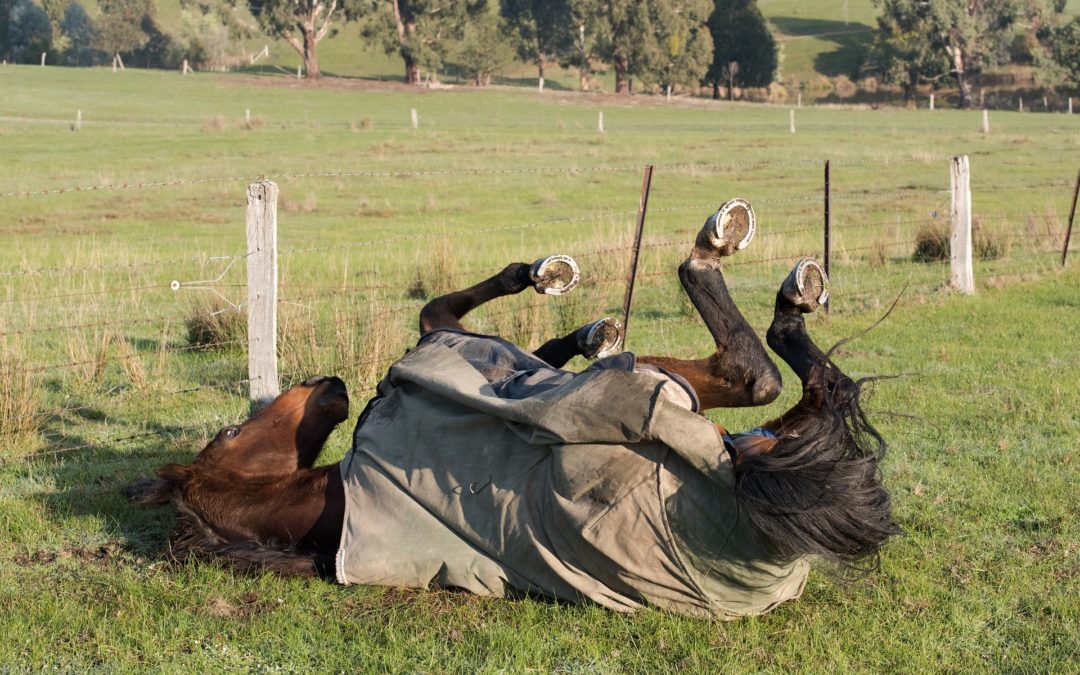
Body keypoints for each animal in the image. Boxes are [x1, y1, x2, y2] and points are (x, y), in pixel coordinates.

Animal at [128, 198, 902, 617]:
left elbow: (522, 337)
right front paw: (549, 285)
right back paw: (735, 257)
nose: (328, 383)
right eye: (232, 428)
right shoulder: (441, 345)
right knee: (756, 368)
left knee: (773, 377)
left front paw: (578, 315)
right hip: (674, 400)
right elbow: (445, 308)